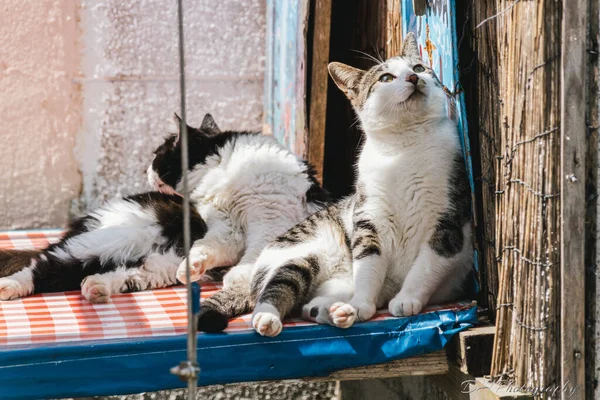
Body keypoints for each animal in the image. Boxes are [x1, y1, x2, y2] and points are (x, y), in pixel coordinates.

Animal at [248, 33, 474, 338]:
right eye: (386, 78)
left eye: (418, 67)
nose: (414, 78)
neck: (405, 146)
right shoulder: (369, 219)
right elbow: (368, 266)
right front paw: (363, 303)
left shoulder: (448, 220)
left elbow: (426, 266)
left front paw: (407, 299)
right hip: (301, 257)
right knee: (278, 288)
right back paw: (269, 318)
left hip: (333, 284)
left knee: (308, 307)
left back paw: (337, 311)